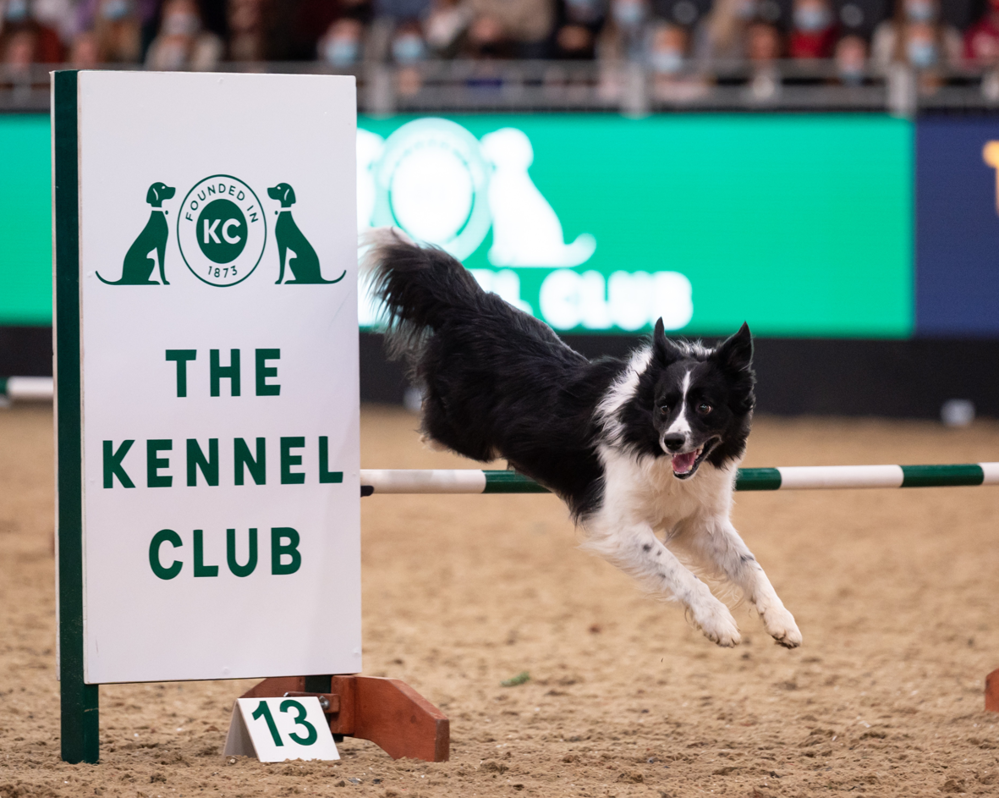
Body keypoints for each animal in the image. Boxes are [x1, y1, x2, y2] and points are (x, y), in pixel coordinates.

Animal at [364, 230, 800, 648]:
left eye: (705, 407)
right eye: (664, 407)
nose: (674, 441)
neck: (648, 441)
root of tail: (471, 303)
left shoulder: (701, 521)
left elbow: (750, 565)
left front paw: (782, 621)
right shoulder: (620, 525)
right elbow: (678, 571)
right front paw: (717, 621)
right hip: (465, 429)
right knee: (436, 425)